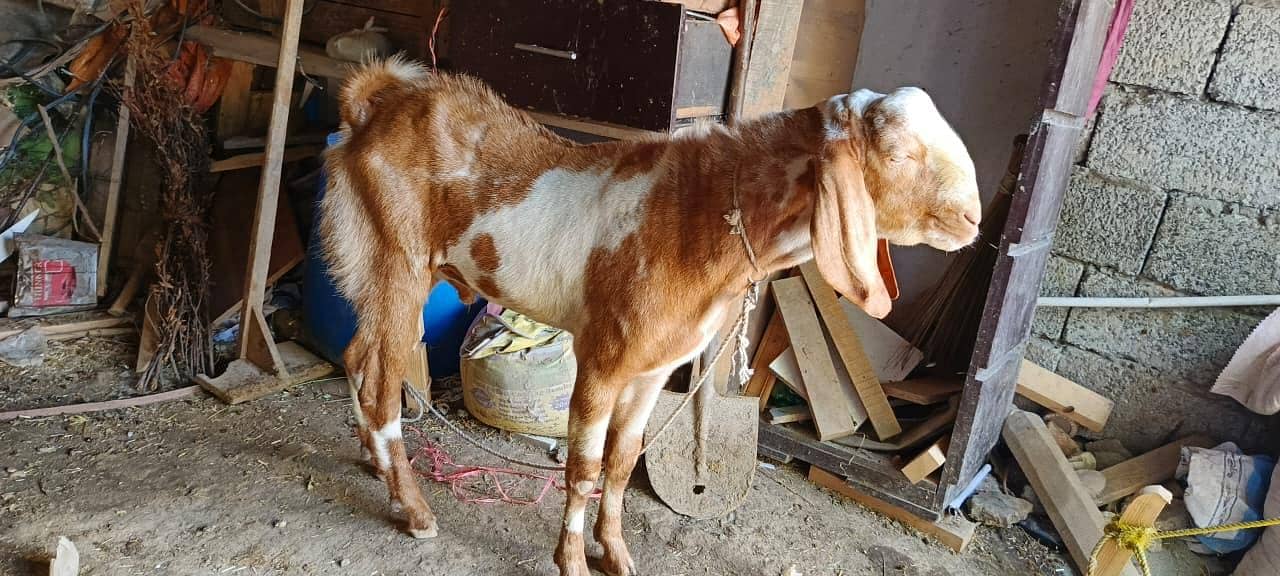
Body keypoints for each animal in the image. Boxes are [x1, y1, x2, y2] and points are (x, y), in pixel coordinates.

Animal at [319, 57, 981, 576]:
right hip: (396, 260)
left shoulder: (654, 369)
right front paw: (571, 562)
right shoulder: (601, 362)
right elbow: (584, 468)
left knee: (355, 355)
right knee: (381, 383)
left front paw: (614, 554)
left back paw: (374, 463)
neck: (699, 216)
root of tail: (374, 103)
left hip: (373, 266)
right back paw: (414, 509)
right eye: (896, 152)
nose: (973, 219)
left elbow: (620, 463)